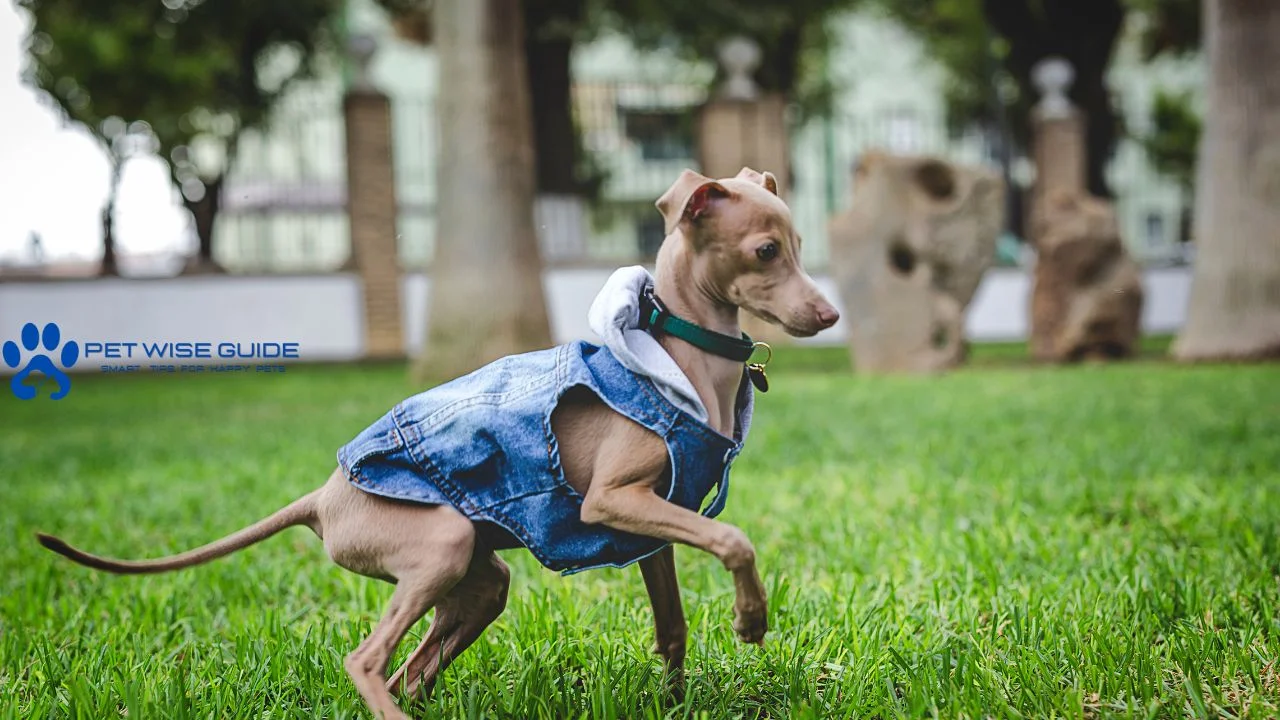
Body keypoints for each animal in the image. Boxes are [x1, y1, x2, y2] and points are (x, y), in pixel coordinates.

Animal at [35, 167, 839, 717]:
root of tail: (321, 497)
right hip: (441, 544)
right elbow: (735, 538)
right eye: (766, 251)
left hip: (475, 581)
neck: (680, 361)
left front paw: (677, 700)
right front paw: (752, 618)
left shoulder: (654, 530)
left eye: (801, 245)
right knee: (367, 663)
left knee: (410, 674)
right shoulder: (614, 502)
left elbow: (672, 629)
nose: (829, 316)